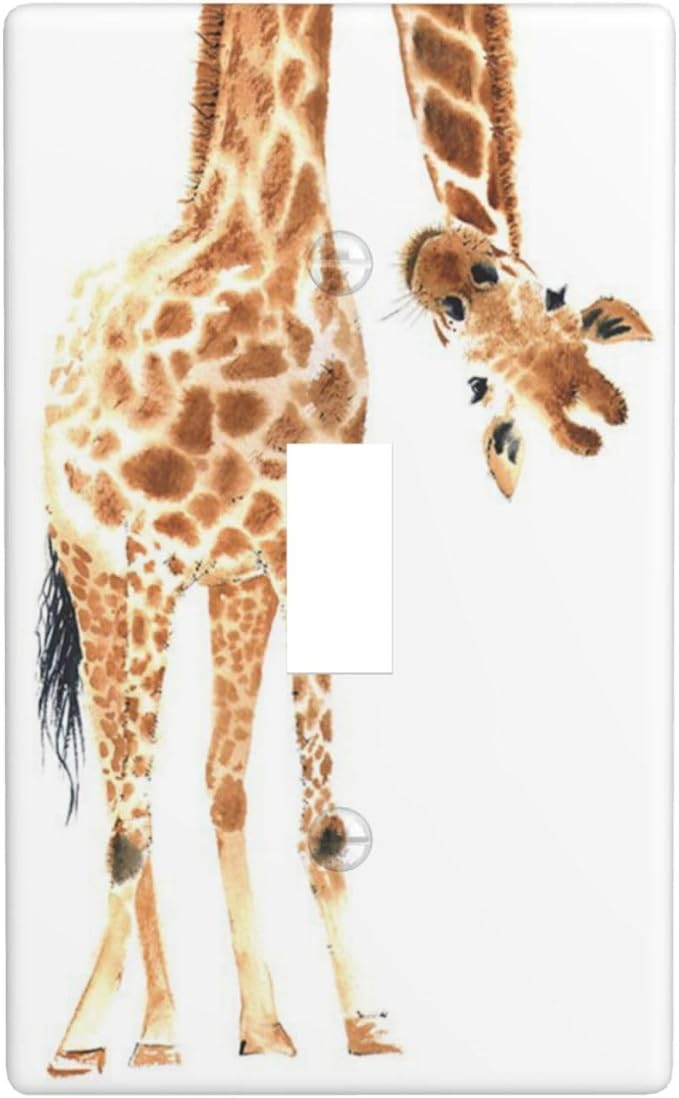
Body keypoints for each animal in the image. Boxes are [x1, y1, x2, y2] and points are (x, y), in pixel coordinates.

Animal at [40, 4, 398, 1075]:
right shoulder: (152, 561)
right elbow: (128, 821)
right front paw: (88, 1037)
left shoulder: (291, 559)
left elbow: (319, 820)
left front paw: (361, 1024)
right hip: (97, 575)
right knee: (122, 781)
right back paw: (137, 1031)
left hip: (229, 587)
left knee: (212, 780)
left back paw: (254, 1024)